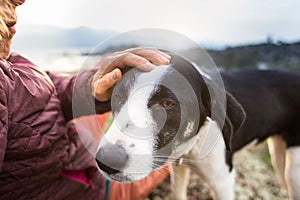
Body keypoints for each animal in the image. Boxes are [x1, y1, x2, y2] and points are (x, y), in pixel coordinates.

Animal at [96, 52, 300, 199]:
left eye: (168, 103)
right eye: (118, 96)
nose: (107, 160)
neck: (192, 145)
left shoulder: (224, 182)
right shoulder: (178, 170)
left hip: (293, 172)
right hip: (278, 155)